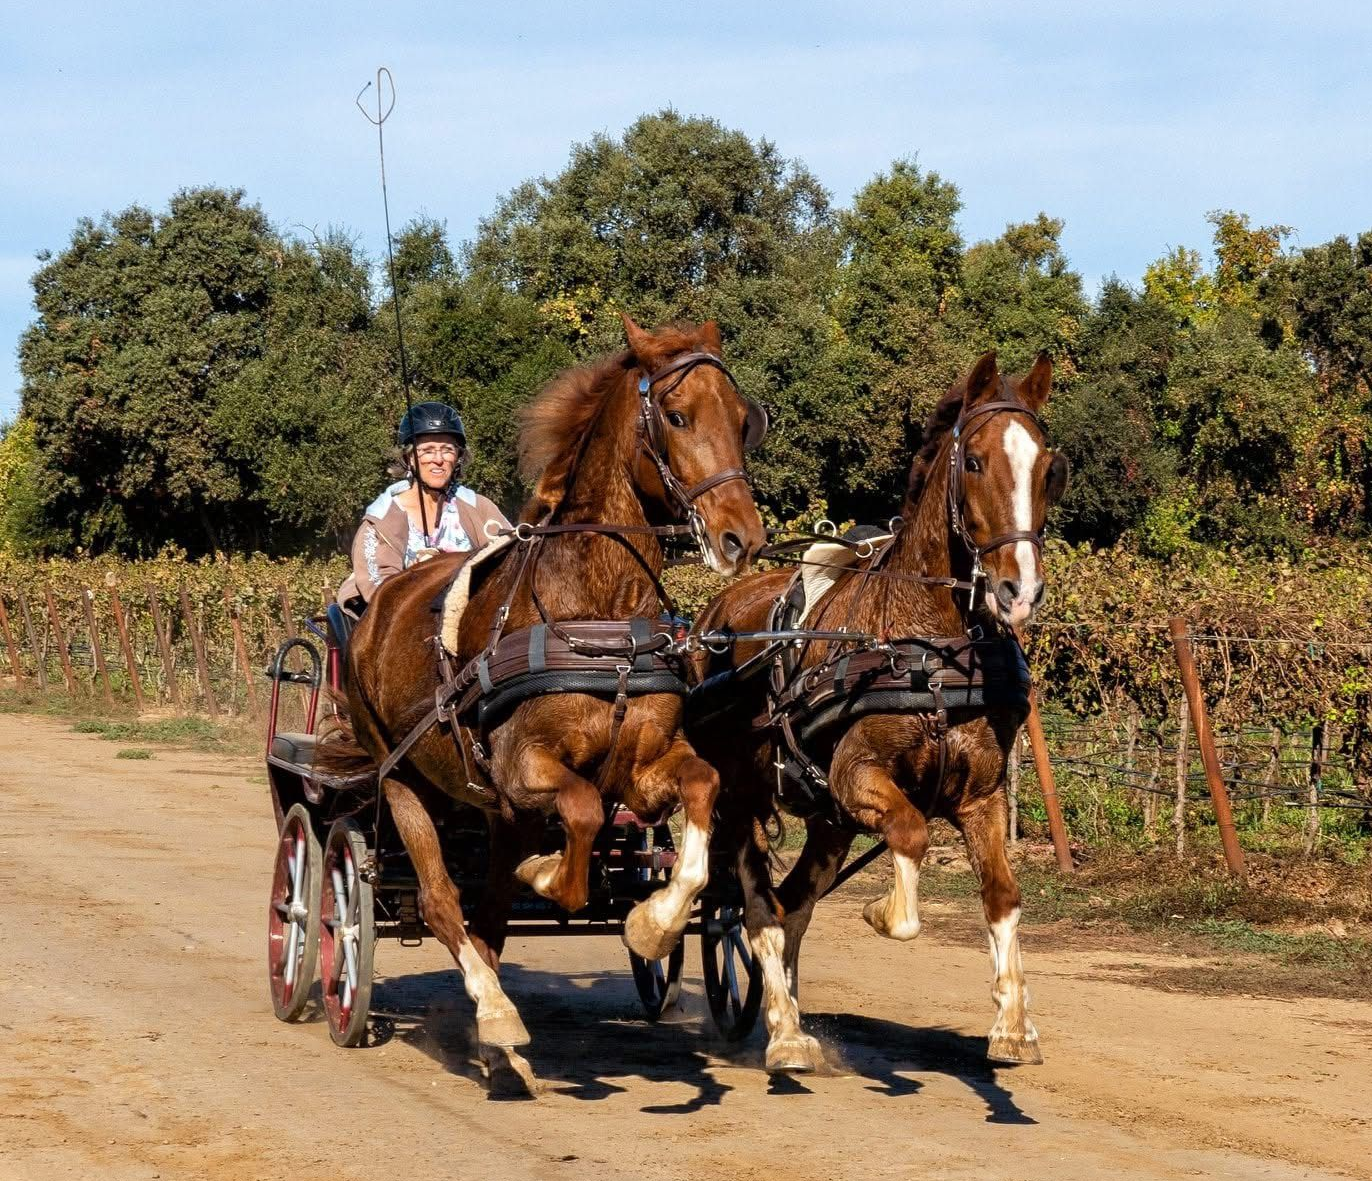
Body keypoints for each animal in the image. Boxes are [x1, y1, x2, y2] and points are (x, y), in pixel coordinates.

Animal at [318, 315, 765, 1053]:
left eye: (741, 419)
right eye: (676, 415)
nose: (742, 538)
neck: (598, 619)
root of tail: (373, 610)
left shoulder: (640, 768)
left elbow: (702, 786)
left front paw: (654, 921)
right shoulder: (524, 766)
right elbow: (581, 813)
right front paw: (552, 872)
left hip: (497, 811)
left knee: (491, 912)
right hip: (404, 783)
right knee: (441, 900)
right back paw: (489, 1007)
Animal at [688, 351, 1068, 1073]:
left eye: (1047, 468)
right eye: (974, 461)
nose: (1020, 587)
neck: (934, 653)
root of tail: (711, 616)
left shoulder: (982, 795)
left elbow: (1002, 895)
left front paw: (1012, 1022)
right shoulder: (856, 776)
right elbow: (912, 836)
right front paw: (885, 913)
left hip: (830, 824)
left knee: (792, 904)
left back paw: (790, 1012)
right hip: (745, 797)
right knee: (754, 908)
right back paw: (783, 1031)